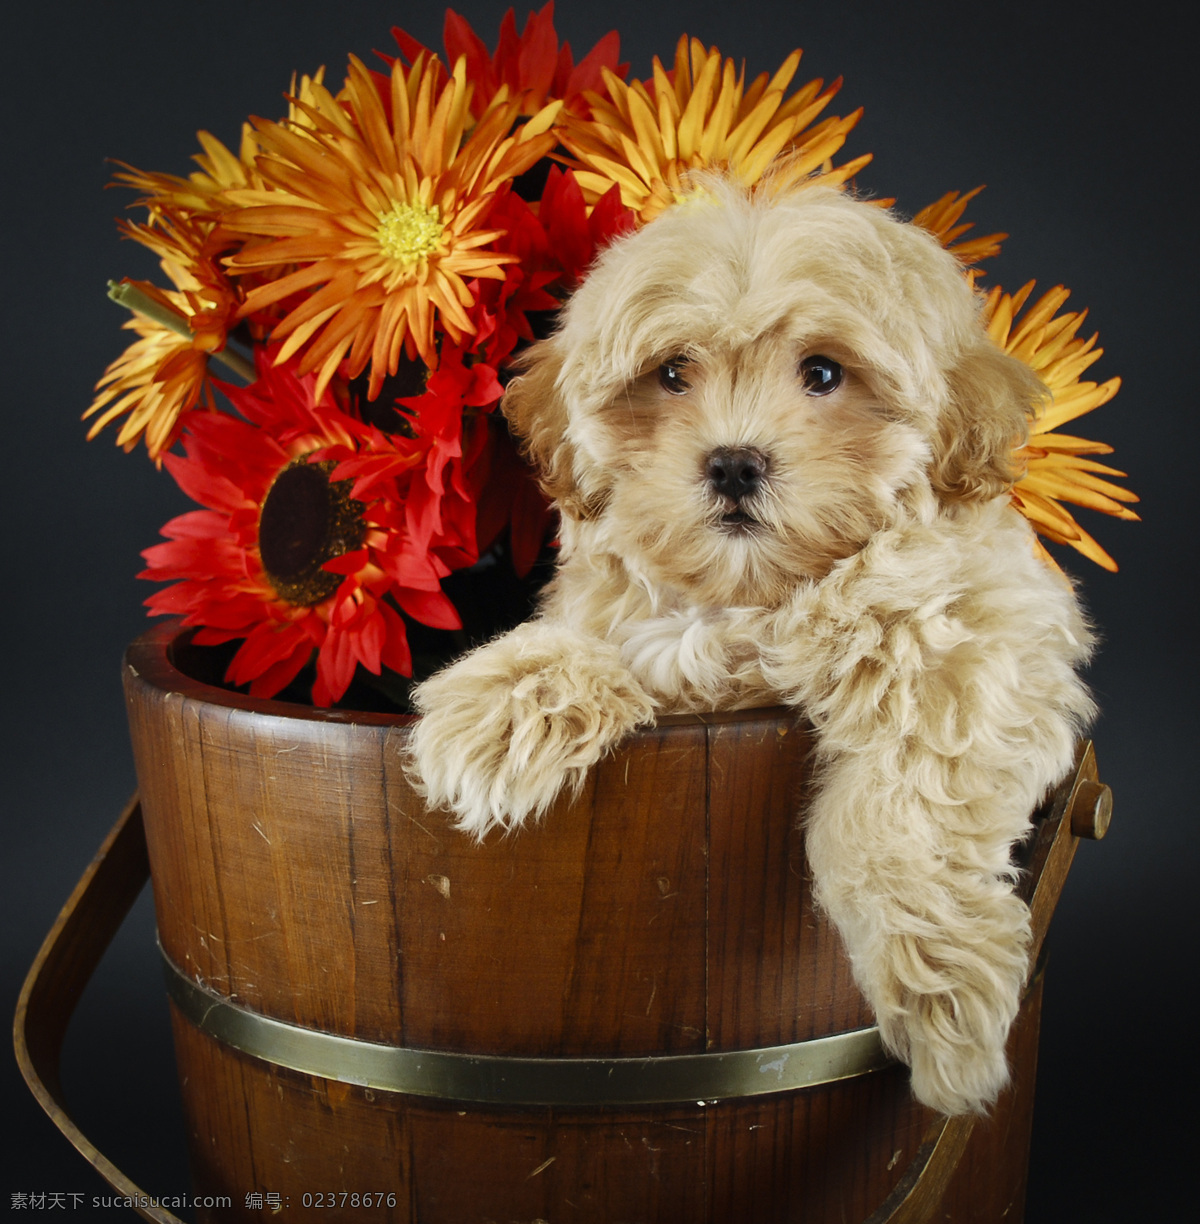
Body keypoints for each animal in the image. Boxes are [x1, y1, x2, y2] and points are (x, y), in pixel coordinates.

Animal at [406, 178, 1097, 1121]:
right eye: (671, 373)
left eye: (824, 373)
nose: (734, 464)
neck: (759, 600)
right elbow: (607, 641)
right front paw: (504, 705)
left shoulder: (982, 643)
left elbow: (903, 798)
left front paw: (940, 990)